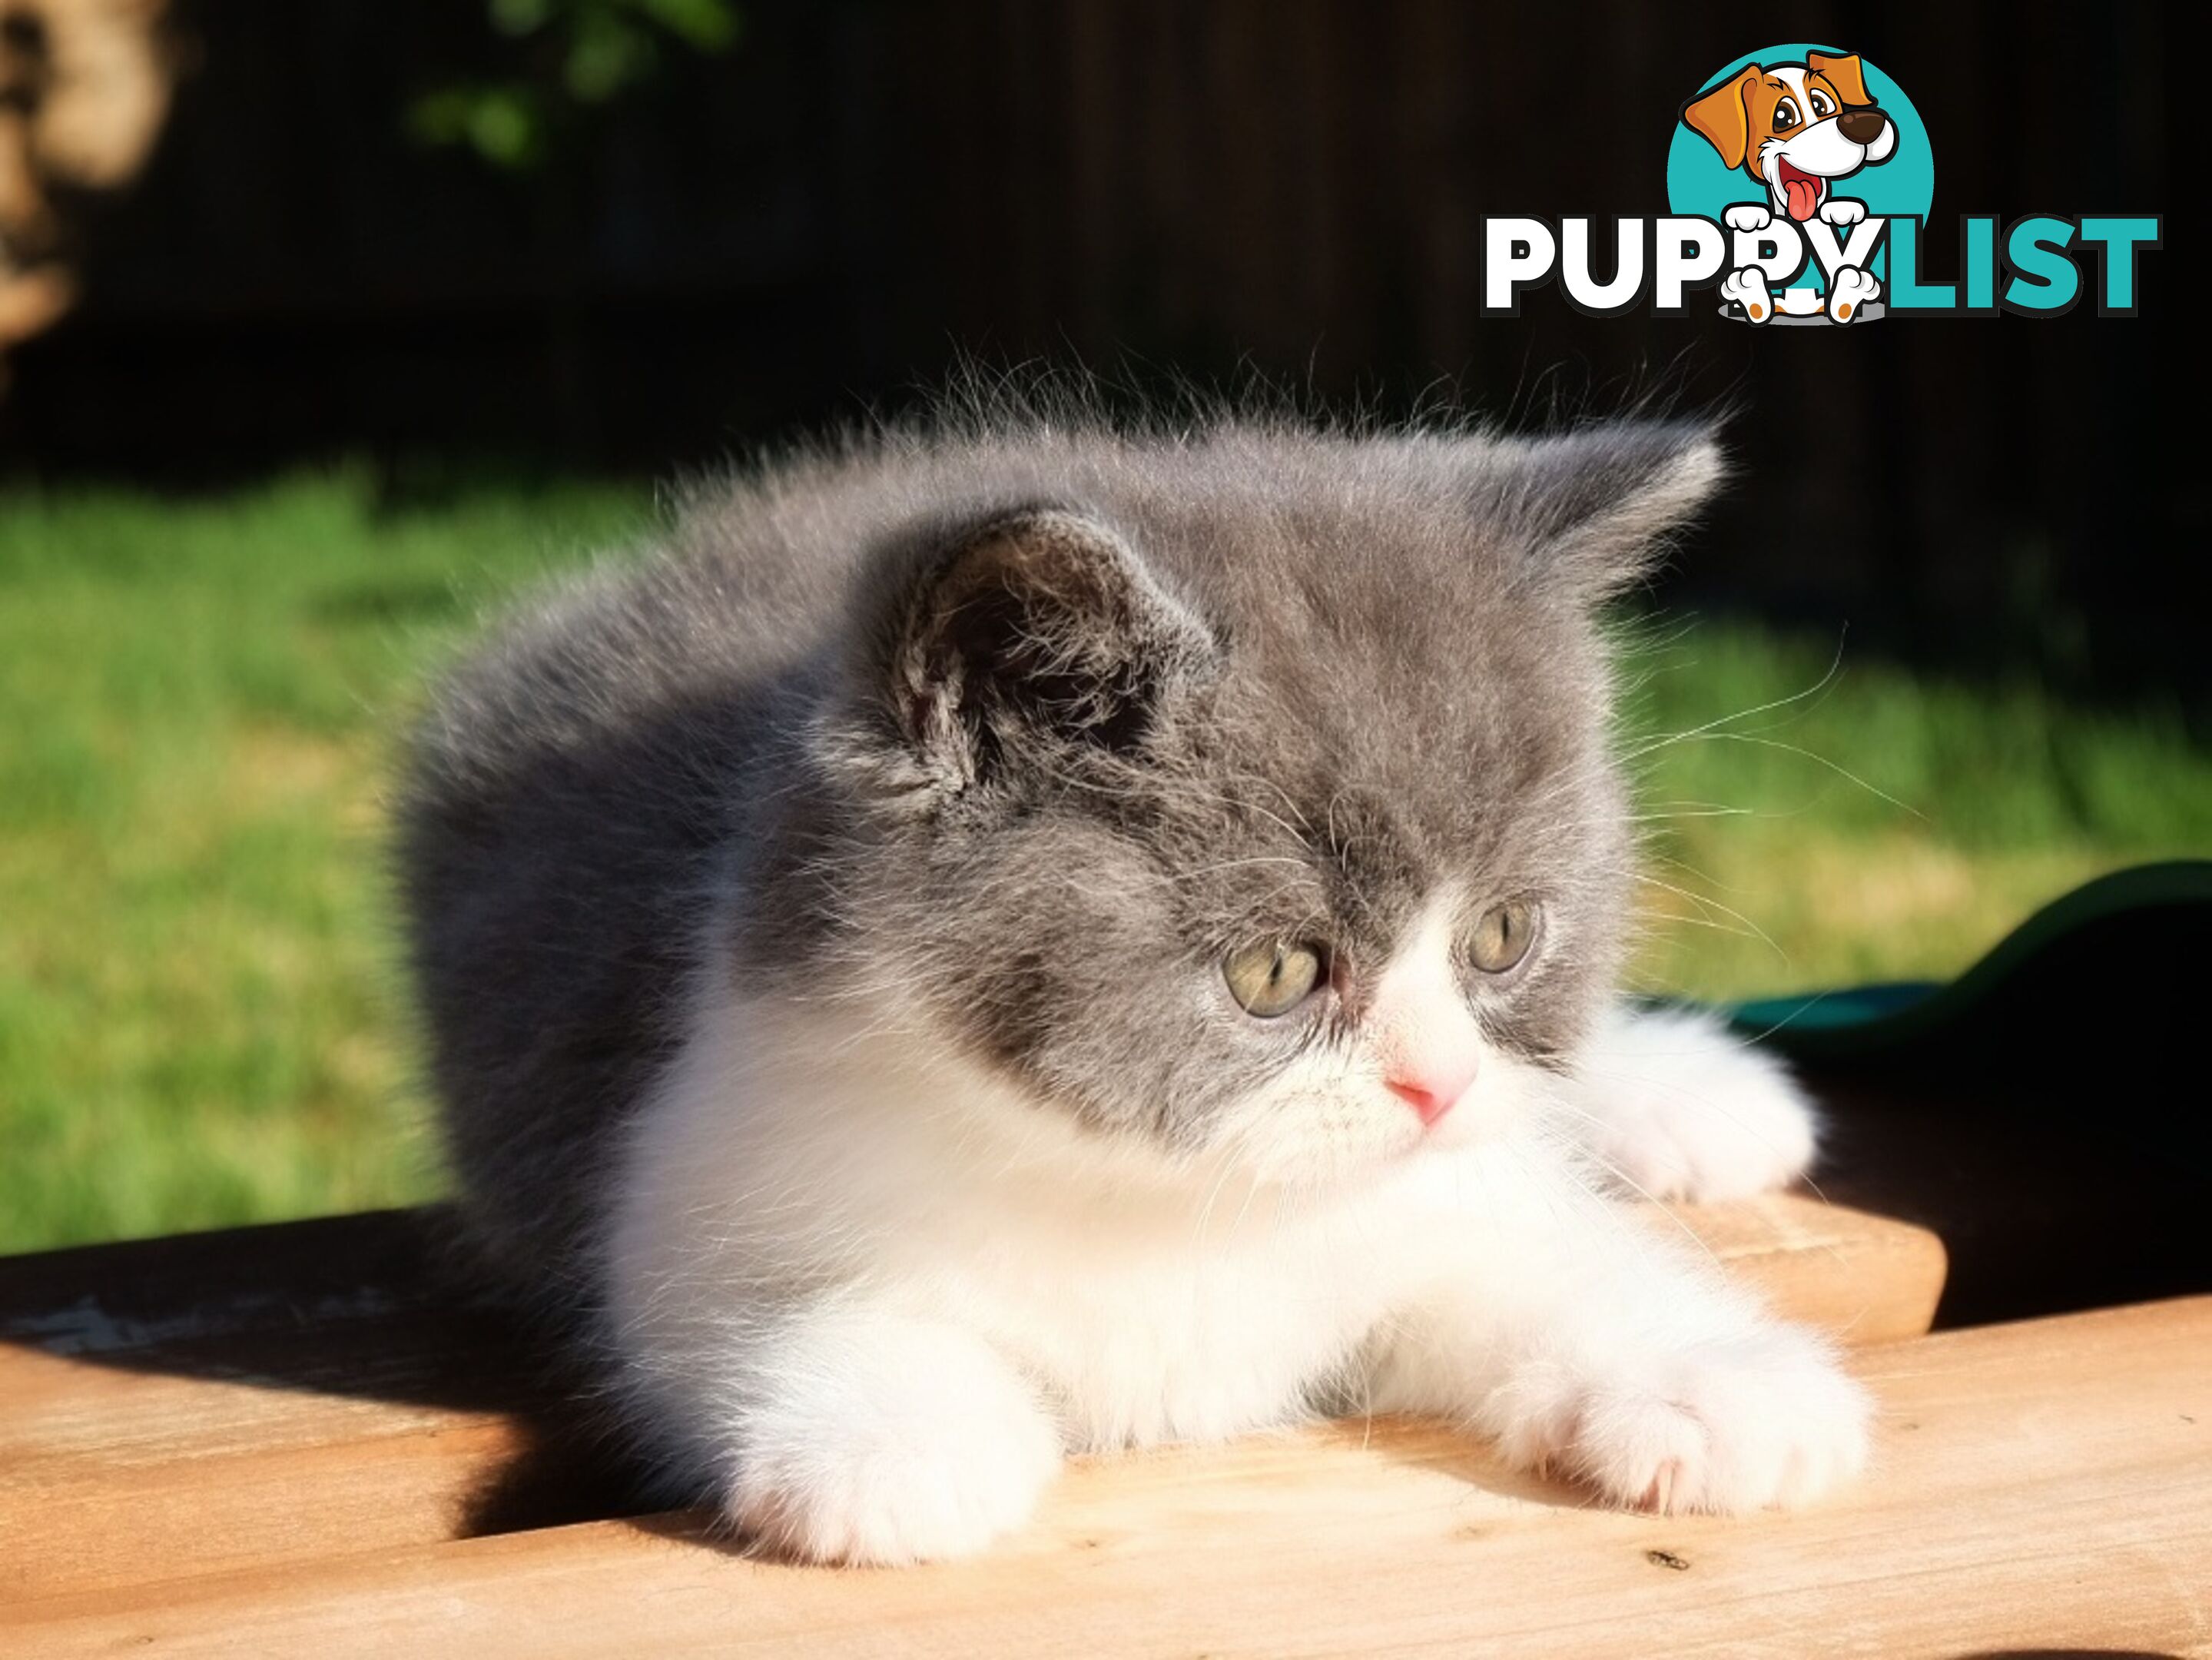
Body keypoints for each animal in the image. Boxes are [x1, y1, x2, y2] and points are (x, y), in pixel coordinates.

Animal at [398, 403, 1866, 1575]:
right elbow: (733, 1309)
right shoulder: (693, 1157)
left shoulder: (1437, 1193)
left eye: (1500, 938)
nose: (1438, 1085)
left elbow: (1532, 1254)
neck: (1172, 1198)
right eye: (1275, 970)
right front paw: (892, 1439)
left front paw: (1716, 1381)